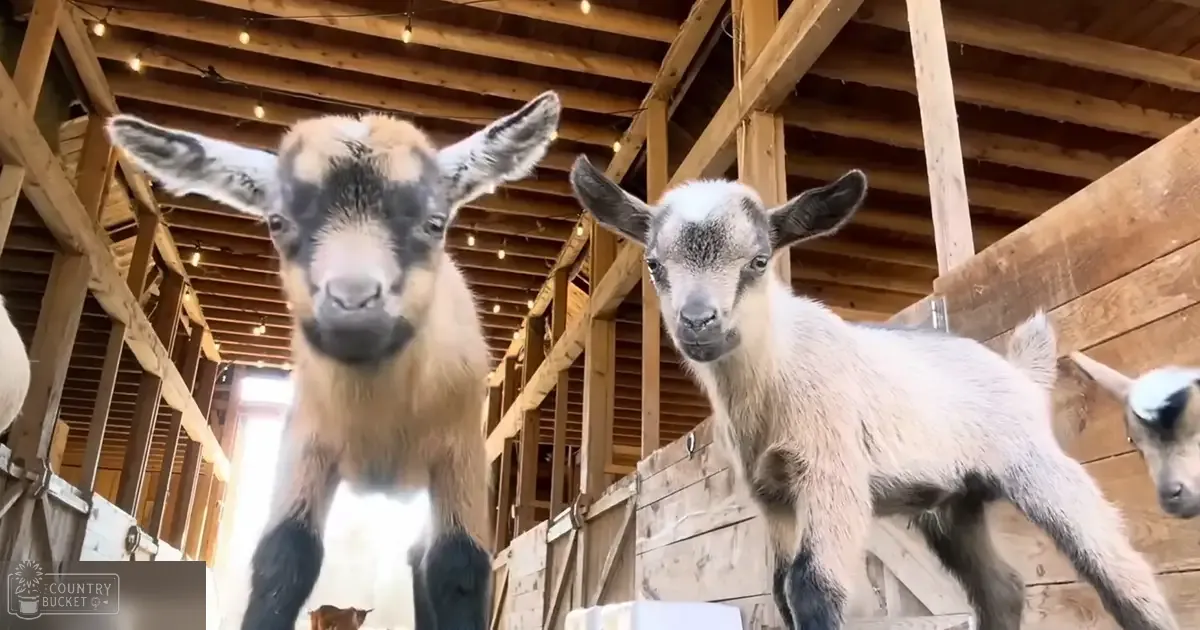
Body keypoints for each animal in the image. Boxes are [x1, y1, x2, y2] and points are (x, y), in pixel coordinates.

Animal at [106, 92, 562, 630]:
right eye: (277, 222)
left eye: (435, 222)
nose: (352, 301)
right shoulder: (306, 441)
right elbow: (285, 557)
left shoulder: (460, 452)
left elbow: (459, 568)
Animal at [569, 157, 1179, 630]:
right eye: (654, 264)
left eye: (759, 261)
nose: (699, 323)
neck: (775, 370)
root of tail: (1021, 373)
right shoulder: (774, 498)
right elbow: (780, 591)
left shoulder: (832, 470)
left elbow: (812, 587)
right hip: (954, 504)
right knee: (1001, 589)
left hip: (1038, 465)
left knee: (1118, 568)